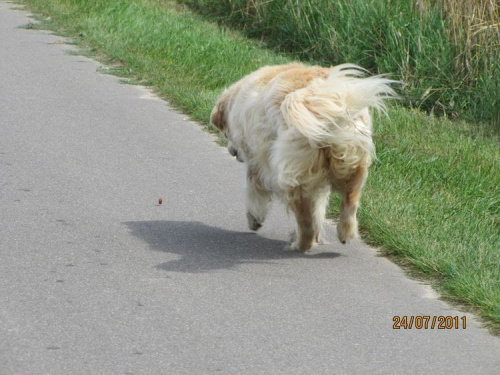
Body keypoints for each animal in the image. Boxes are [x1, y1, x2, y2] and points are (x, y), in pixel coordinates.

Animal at [210, 64, 394, 253]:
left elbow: (254, 190)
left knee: (305, 221)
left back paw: (299, 244)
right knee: (349, 203)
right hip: (354, 164)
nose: (232, 152)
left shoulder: (258, 162)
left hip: (293, 177)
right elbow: (319, 207)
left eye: (225, 133)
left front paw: (254, 219)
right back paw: (345, 234)